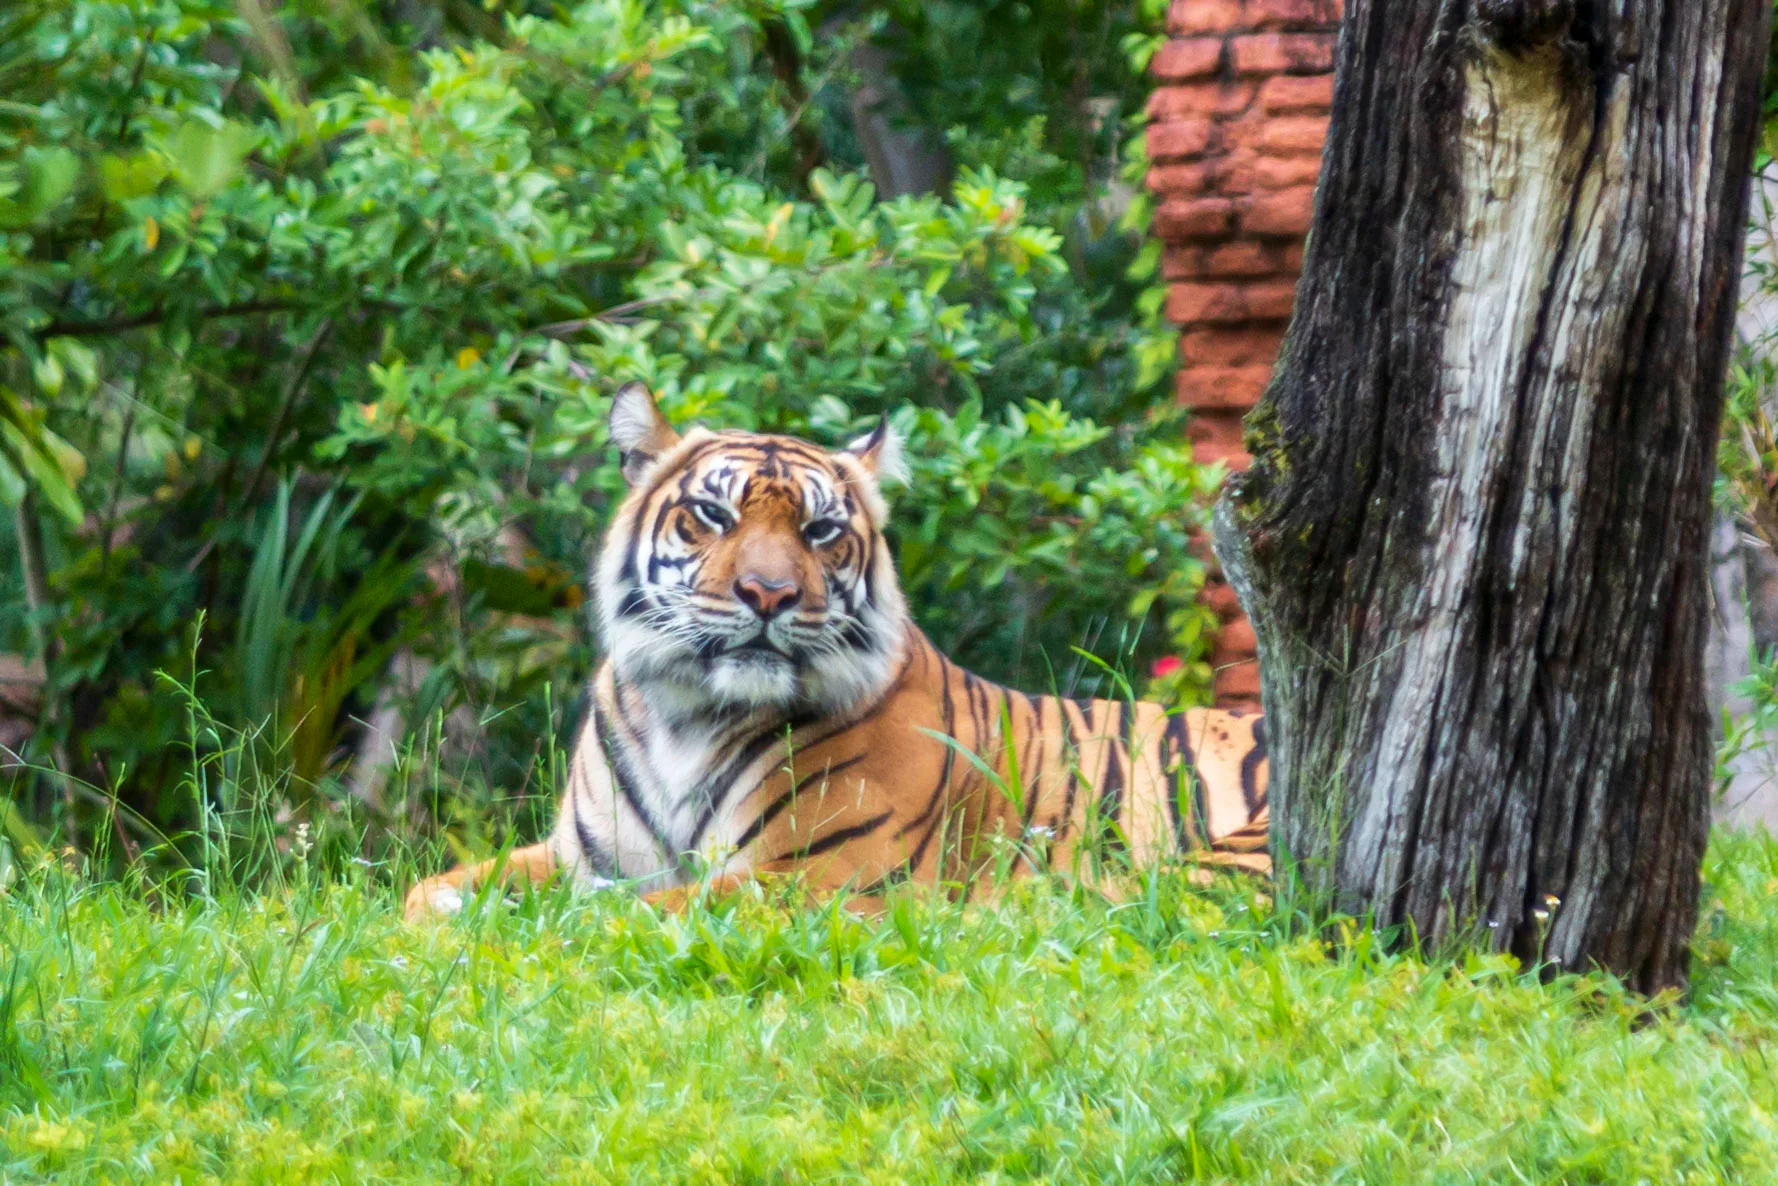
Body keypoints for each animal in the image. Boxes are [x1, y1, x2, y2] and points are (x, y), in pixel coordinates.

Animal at [404, 383, 1269, 920]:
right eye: (713, 514)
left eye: (820, 529)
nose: (769, 594)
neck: (688, 714)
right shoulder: (578, 855)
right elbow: (426, 891)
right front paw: (447, 918)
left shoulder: (816, 874)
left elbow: (639, 910)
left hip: (1237, 860)